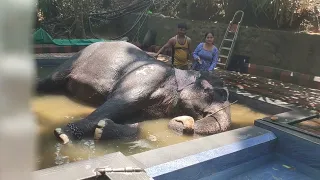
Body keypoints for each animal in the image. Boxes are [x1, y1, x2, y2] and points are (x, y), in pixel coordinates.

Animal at [37, 41, 230, 145]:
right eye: (209, 92)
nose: (183, 121)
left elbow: (136, 121)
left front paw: (102, 129)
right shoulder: (148, 77)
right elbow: (119, 102)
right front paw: (63, 136)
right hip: (76, 58)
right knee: (52, 79)